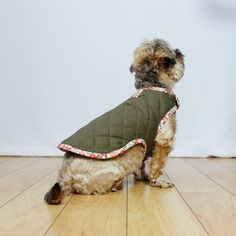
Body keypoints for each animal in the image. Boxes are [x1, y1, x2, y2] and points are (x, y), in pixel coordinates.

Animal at [44, 38, 184, 205]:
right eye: (176, 55)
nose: (181, 52)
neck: (152, 85)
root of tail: (65, 175)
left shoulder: (145, 145)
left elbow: (142, 164)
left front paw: (142, 176)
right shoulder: (163, 141)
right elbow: (158, 165)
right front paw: (159, 181)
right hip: (115, 169)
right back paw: (116, 185)